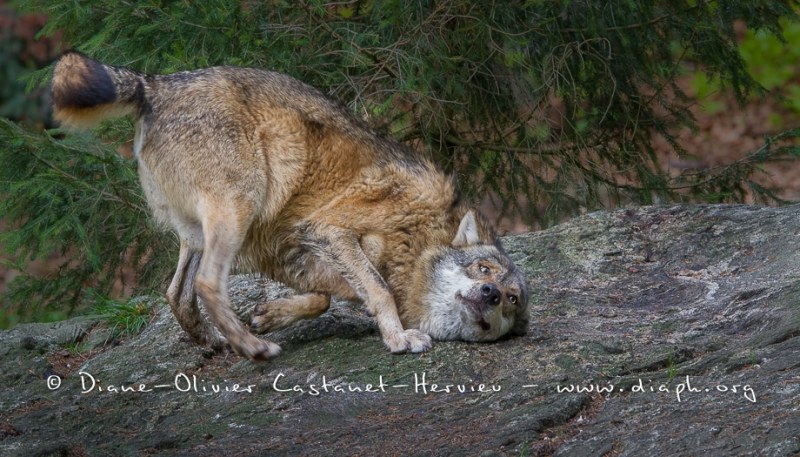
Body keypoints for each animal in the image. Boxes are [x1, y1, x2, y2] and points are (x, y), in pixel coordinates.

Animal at [50, 50, 532, 360]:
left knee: (177, 294)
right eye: (483, 270)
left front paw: (271, 315)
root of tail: (154, 83)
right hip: (239, 207)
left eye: (511, 300)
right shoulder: (329, 228)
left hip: (201, 233)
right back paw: (254, 349)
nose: (490, 294)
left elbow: (322, 297)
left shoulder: (299, 252)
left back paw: (218, 343)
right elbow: (376, 290)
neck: (416, 240)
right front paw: (399, 340)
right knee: (206, 285)